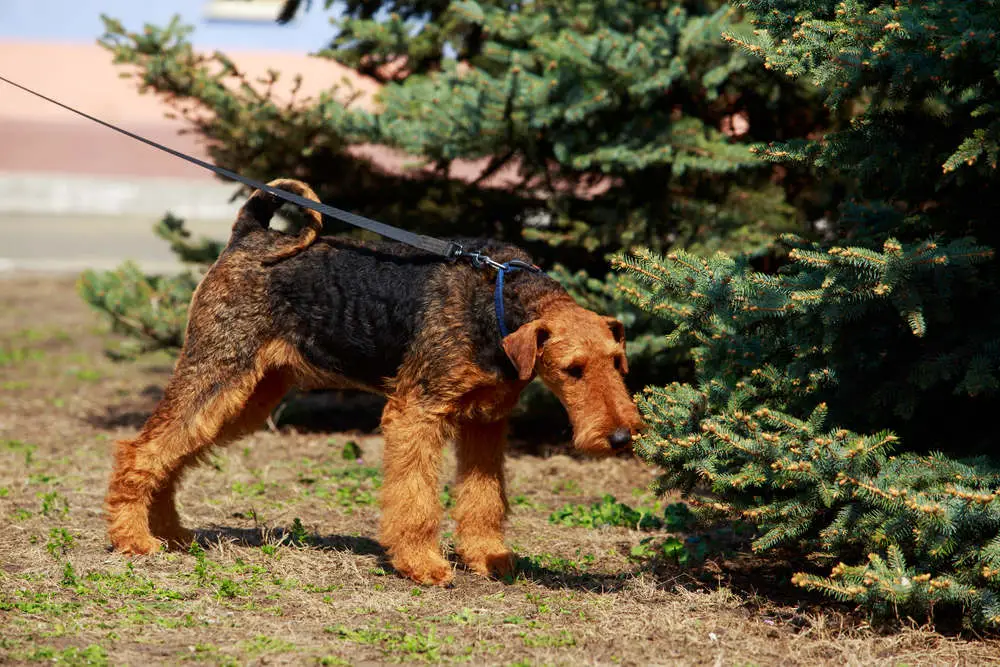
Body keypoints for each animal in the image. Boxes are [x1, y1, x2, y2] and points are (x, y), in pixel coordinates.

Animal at [105, 177, 644, 584]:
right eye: (572, 369)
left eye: (618, 362)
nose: (621, 438)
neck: (496, 302)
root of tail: (250, 236)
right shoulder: (416, 412)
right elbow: (416, 498)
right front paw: (423, 565)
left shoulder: (486, 421)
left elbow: (483, 498)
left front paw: (489, 557)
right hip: (218, 371)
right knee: (140, 450)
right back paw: (134, 539)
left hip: (246, 395)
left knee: (172, 455)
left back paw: (171, 534)